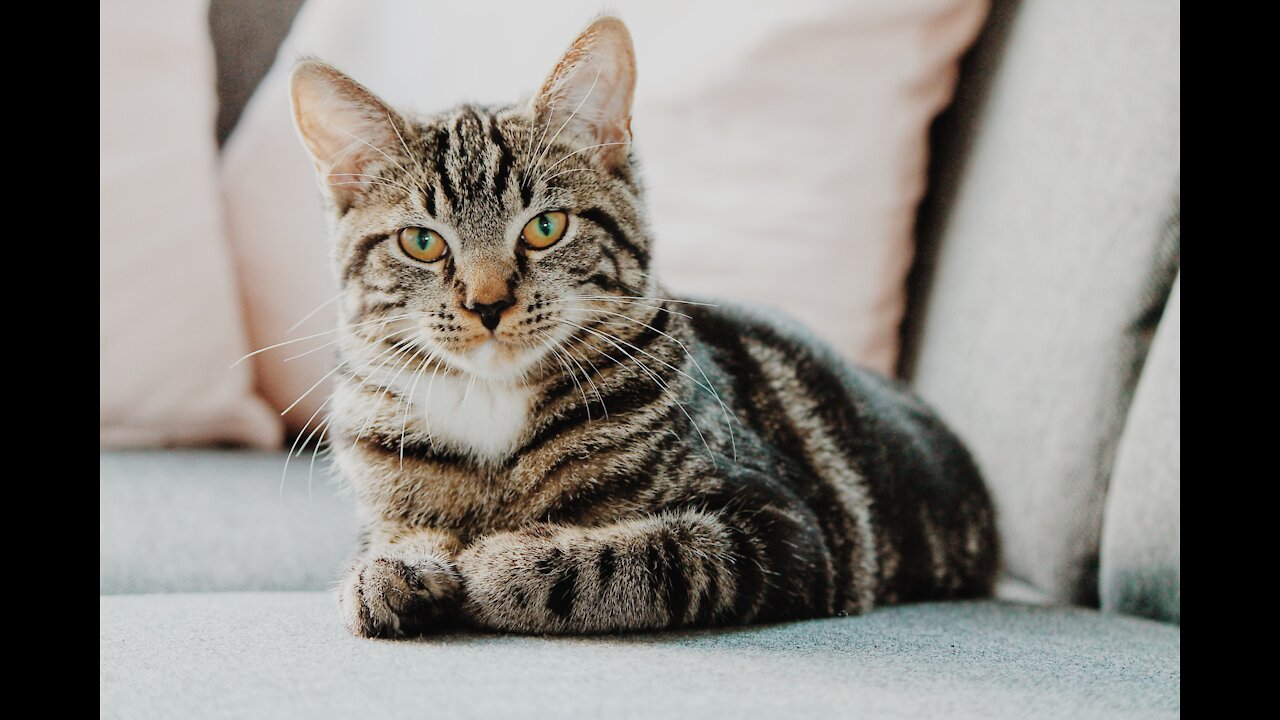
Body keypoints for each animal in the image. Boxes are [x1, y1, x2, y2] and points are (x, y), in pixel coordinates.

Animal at [290, 15, 998, 632]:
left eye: (545, 227)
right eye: (422, 242)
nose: (487, 304)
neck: (492, 405)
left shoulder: (781, 528)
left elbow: (639, 556)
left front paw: (501, 562)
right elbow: (391, 534)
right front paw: (392, 565)